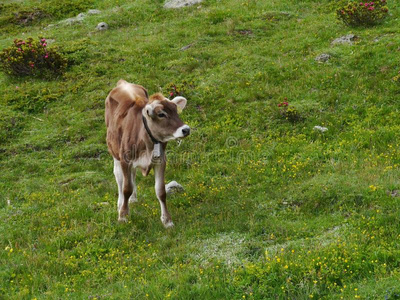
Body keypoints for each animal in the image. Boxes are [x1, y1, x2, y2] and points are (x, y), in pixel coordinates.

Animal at [104, 79, 189, 227]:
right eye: (161, 114)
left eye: (176, 111)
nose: (186, 129)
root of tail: (123, 83)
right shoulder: (125, 160)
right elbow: (126, 188)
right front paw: (123, 216)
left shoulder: (160, 161)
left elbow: (161, 191)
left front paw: (167, 221)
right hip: (114, 150)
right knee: (119, 177)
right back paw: (120, 204)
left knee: (132, 175)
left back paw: (133, 199)